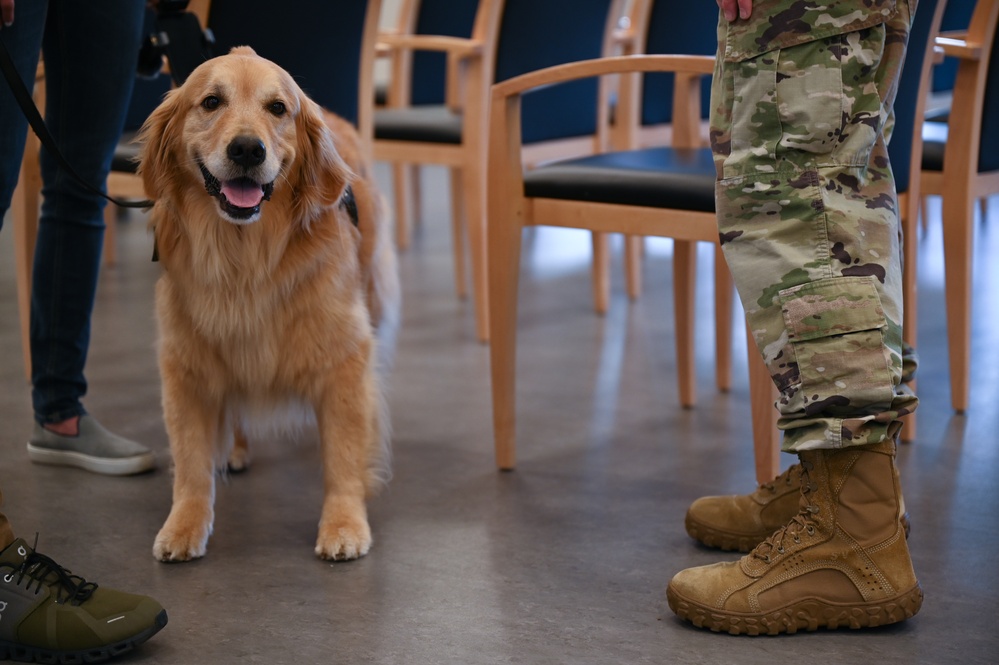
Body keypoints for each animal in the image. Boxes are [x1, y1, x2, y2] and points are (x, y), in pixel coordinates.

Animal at [138, 45, 402, 560]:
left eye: (278, 108)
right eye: (211, 101)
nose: (247, 149)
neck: (245, 260)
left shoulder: (345, 358)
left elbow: (343, 452)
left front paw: (344, 523)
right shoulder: (185, 362)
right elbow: (191, 459)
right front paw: (184, 525)